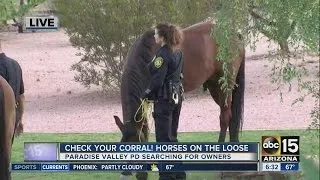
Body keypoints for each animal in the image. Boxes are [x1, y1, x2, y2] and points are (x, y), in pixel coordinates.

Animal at [112, 20, 245, 179]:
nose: (125, 173)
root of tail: (235, 34)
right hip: (215, 86)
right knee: (231, 116)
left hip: (226, 85)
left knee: (225, 117)